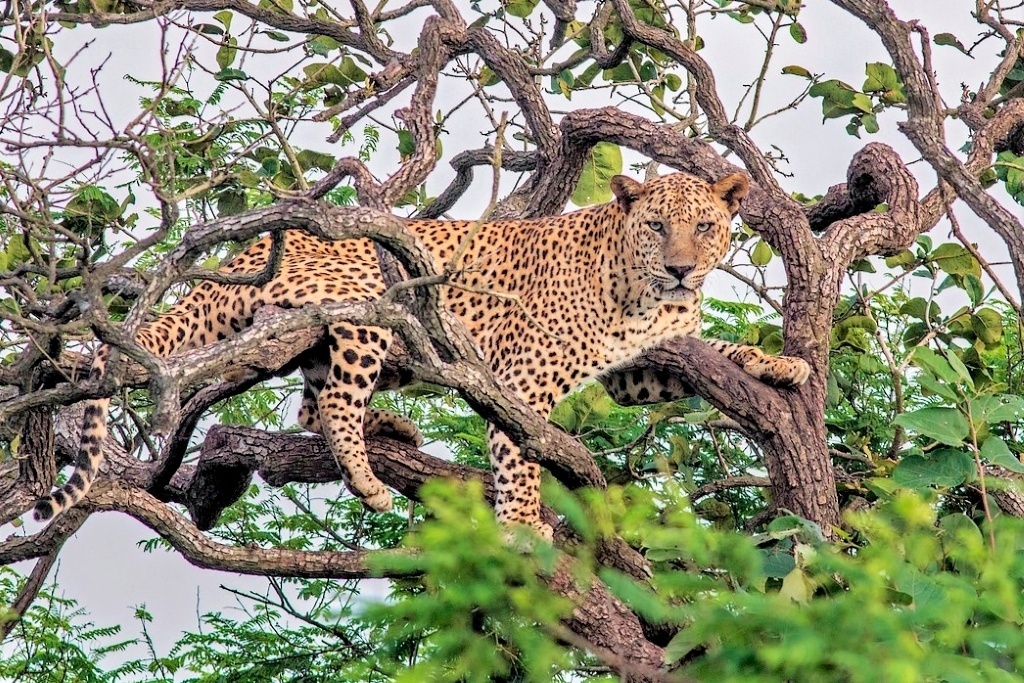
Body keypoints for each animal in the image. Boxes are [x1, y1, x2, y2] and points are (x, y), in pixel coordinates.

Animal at [34, 167, 806, 536]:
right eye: (656, 226)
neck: (646, 293)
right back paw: (368, 471)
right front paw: (523, 524)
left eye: (704, 227)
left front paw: (782, 363)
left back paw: (392, 429)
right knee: (335, 400)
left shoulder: (635, 368)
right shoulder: (522, 378)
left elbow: (718, 347)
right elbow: (520, 454)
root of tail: (245, 253)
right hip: (367, 305)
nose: (679, 268)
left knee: (310, 401)